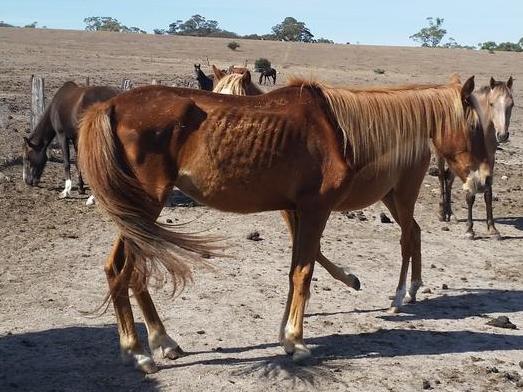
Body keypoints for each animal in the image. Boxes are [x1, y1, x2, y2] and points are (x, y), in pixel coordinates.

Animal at [78, 74, 492, 374]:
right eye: (475, 128)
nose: (483, 181)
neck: (337, 130)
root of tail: (109, 105)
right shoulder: (315, 210)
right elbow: (304, 273)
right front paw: (296, 341)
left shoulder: (298, 211)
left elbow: (296, 271)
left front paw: (286, 334)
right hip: (143, 208)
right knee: (125, 273)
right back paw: (139, 352)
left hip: (137, 214)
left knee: (121, 271)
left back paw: (160, 342)